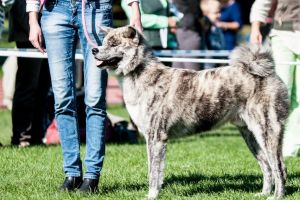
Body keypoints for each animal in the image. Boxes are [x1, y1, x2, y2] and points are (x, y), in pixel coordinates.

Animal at [92, 25, 290, 199]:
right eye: (104, 42)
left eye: (114, 44)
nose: (94, 49)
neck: (140, 74)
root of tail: (268, 72)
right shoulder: (153, 139)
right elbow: (155, 170)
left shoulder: (156, 137)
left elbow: (153, 171)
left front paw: (151, 195)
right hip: (250, 135)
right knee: (267, 166)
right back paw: (263, 194)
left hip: (267, 131)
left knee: (280, 167)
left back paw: (276, 196)